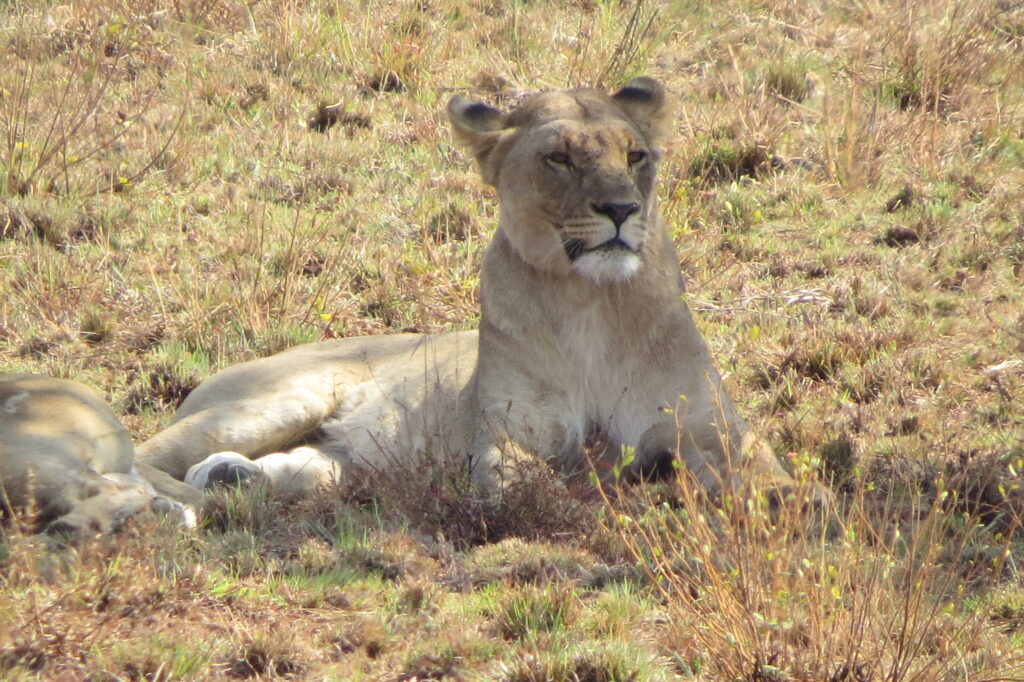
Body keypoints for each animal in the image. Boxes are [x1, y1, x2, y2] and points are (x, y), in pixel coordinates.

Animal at [136, 75, 794, 499]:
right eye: (559, 158)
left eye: (635, 156)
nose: (620, 209)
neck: (592, 302)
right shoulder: (507, 437)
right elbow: (540, 486)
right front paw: (632, 487)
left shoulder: (714, 428)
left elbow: (769, 475)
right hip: (279, 400)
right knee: (144, 458)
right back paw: (180, 506)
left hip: (343, 459)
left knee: (308, 468)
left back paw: (231, 480)